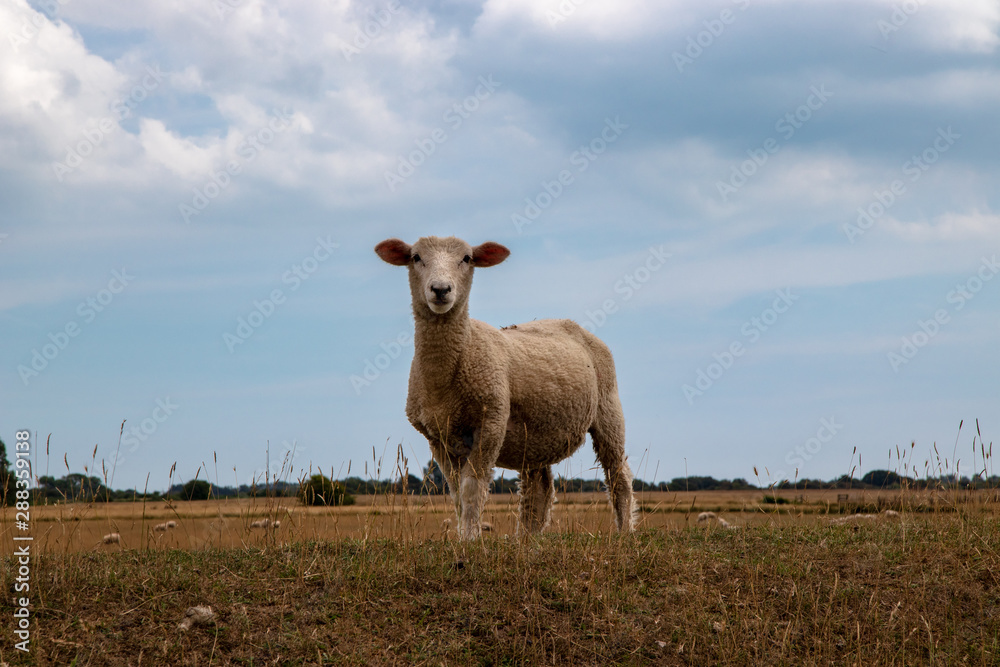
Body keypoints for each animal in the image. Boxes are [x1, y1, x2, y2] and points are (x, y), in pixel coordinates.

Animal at [376, 236, 635, 540]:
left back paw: (624, 530)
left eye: (467, 258)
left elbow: (472, 487)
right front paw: (464, 533)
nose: (441, 289)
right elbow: (455, 492)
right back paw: (527, 537)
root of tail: (574, 325)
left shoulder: (491, 422)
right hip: (536, 433)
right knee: (539, 488)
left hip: (608, 409)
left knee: (617, 474)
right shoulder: (437, 437)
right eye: (415, 257)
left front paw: (470, 538)